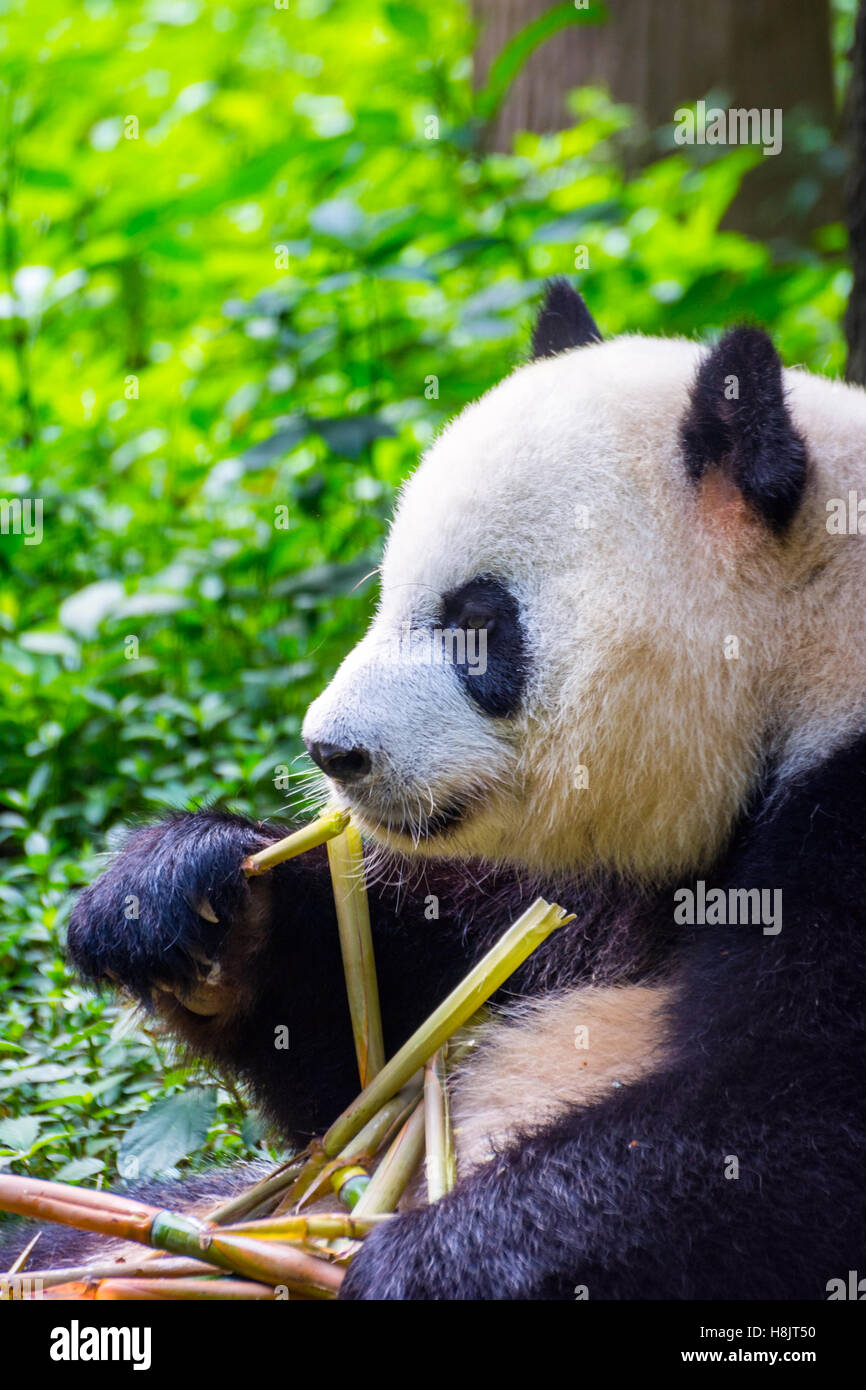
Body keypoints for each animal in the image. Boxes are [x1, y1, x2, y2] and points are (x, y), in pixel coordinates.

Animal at [11, 284, 866, 1301]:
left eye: (475, 621)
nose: (331, 749)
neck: (799, 647)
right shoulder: (571, 891)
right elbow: (385, 1049)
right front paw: (178, 902)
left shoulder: (849, 806)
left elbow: (794, 1132)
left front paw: (425, 1261)